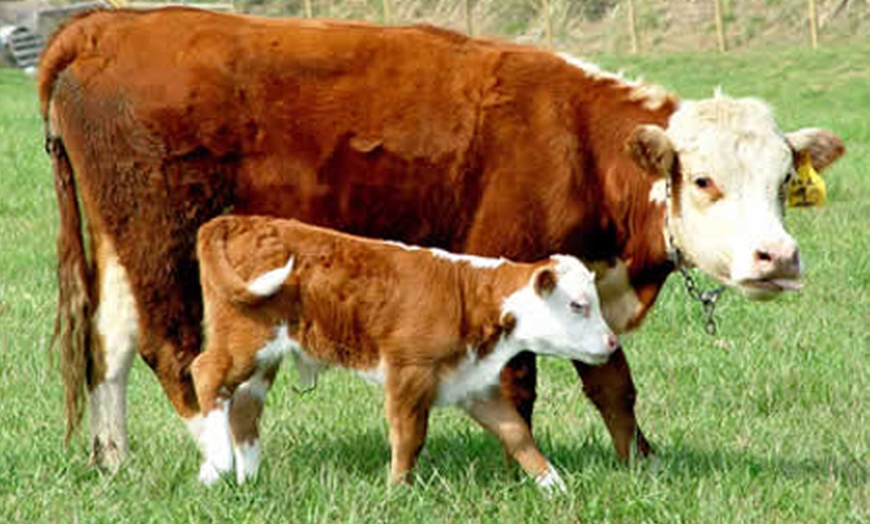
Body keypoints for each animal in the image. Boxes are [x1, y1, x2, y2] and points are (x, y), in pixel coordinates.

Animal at [195, 212, 624, 488]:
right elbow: (408, 437)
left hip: (264, 357)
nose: (612, 342)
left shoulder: (474, 384)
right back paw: (219, 466)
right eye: (578, 305)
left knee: (243, 407)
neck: (469, 296)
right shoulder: (409, 373)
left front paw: (556, 487)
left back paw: (248, 479)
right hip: (244, 338)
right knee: (206, 374)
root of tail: (240, 221)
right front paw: (397, 490)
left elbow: (517, 434)